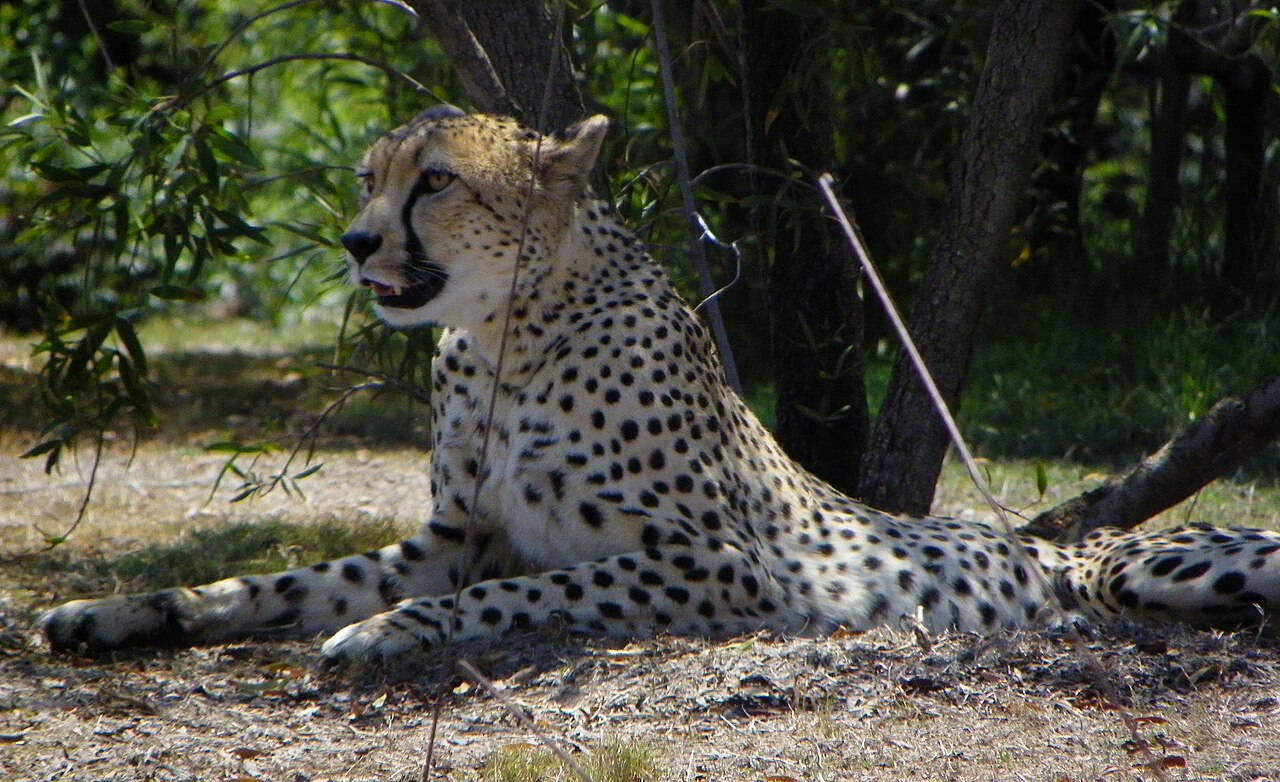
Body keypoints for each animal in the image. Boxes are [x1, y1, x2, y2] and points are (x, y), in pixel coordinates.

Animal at [42, 106, 1280, 666]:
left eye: (433, 182)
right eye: (366, 179)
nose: (353, 243)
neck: (504, 335)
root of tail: (1072, 549)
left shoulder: (721, 563)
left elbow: (523, 590)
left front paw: (389, 627)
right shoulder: (454, 532)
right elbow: (273, 580)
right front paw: (125, 610)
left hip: (1155, 564)